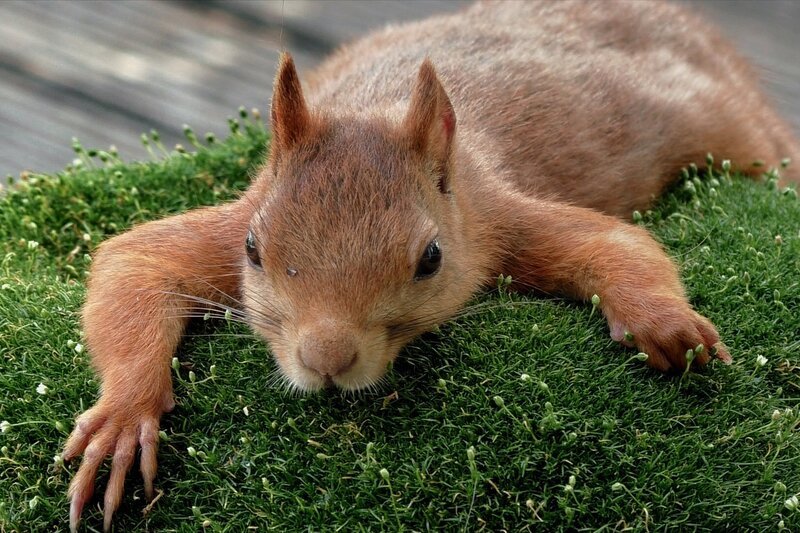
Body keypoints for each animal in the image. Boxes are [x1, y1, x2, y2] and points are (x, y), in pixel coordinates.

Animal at [63, 1, 799, 530]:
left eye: (431, 258)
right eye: (252, 249)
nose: (326, 359)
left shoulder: (495, 218)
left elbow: (617, 245)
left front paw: (666, 322)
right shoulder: (229, 221)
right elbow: (135, 261)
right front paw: (124, 417)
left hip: (735, 131)